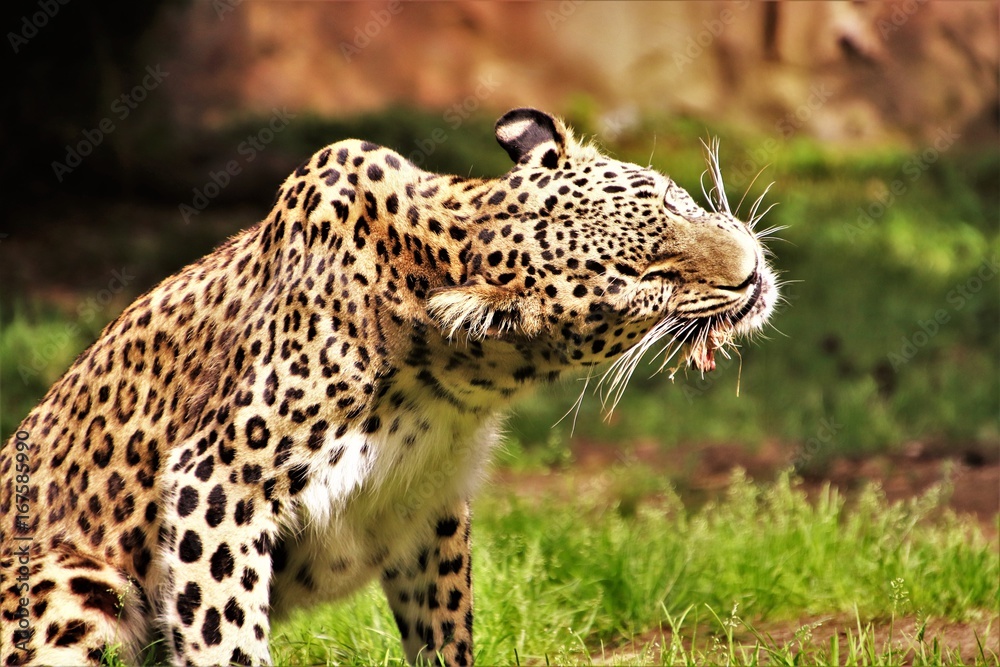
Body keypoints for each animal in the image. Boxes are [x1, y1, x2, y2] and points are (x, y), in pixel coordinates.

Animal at [0, 108, 778, 666]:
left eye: (672, 199)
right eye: (649, 281)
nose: (750, 271)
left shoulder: (427, 503)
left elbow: (445, 628)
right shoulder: (214, 485)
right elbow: (227, 635)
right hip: (72, 587)